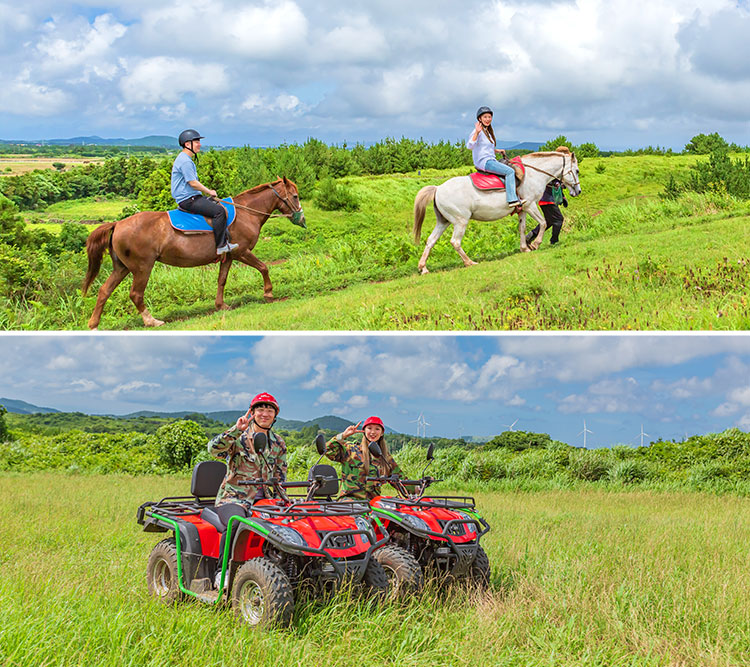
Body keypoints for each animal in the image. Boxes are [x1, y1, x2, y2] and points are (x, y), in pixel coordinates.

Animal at [82, 177, 306, 328]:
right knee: (136, 294)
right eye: (295, 196)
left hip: (122, 267)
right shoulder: (242, 252)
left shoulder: (229, 255)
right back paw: (151, 321)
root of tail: (118, 224)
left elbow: (222, 280)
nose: (302, 219)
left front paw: (220, 305)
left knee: (104, 291)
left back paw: (94, 324)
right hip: (142, 267)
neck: (246, 212)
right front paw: (268, 292)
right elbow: (264, 267)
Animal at [414, 150, 584, 276]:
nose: (578, 191)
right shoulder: (530, 205)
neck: (532, 174)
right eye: (576, 170)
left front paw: (524, 248)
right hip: (460, 221)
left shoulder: (522, 209)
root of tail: (437, 189)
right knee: (455, 242)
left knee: (431, 241)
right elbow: (543, 223)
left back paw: (423, 268)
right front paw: (535, 244)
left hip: (443, 221)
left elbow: (522, 228)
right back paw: (469, 262)